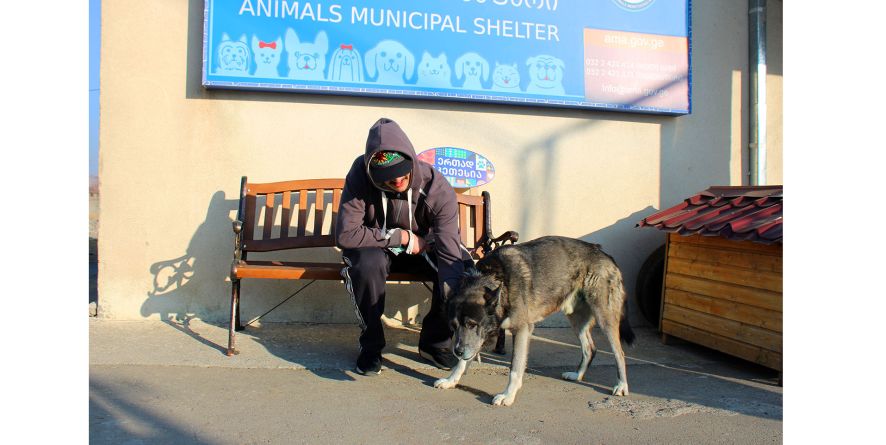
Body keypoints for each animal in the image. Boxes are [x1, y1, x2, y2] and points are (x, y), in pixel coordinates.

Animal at [434, 236, 636, 406]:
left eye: (472, 324)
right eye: (453, 327)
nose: (457, 351)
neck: (498, 280)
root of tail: (605, 254)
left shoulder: (521, 330)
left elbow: (515, 368)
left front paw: (508, 395)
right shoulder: (477, 339)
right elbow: (462, 363)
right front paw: (451, 380)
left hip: (605, 317)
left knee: (619, 353)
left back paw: (621, 385)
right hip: (576, 318)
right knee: (590, 348)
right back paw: (577, 375)